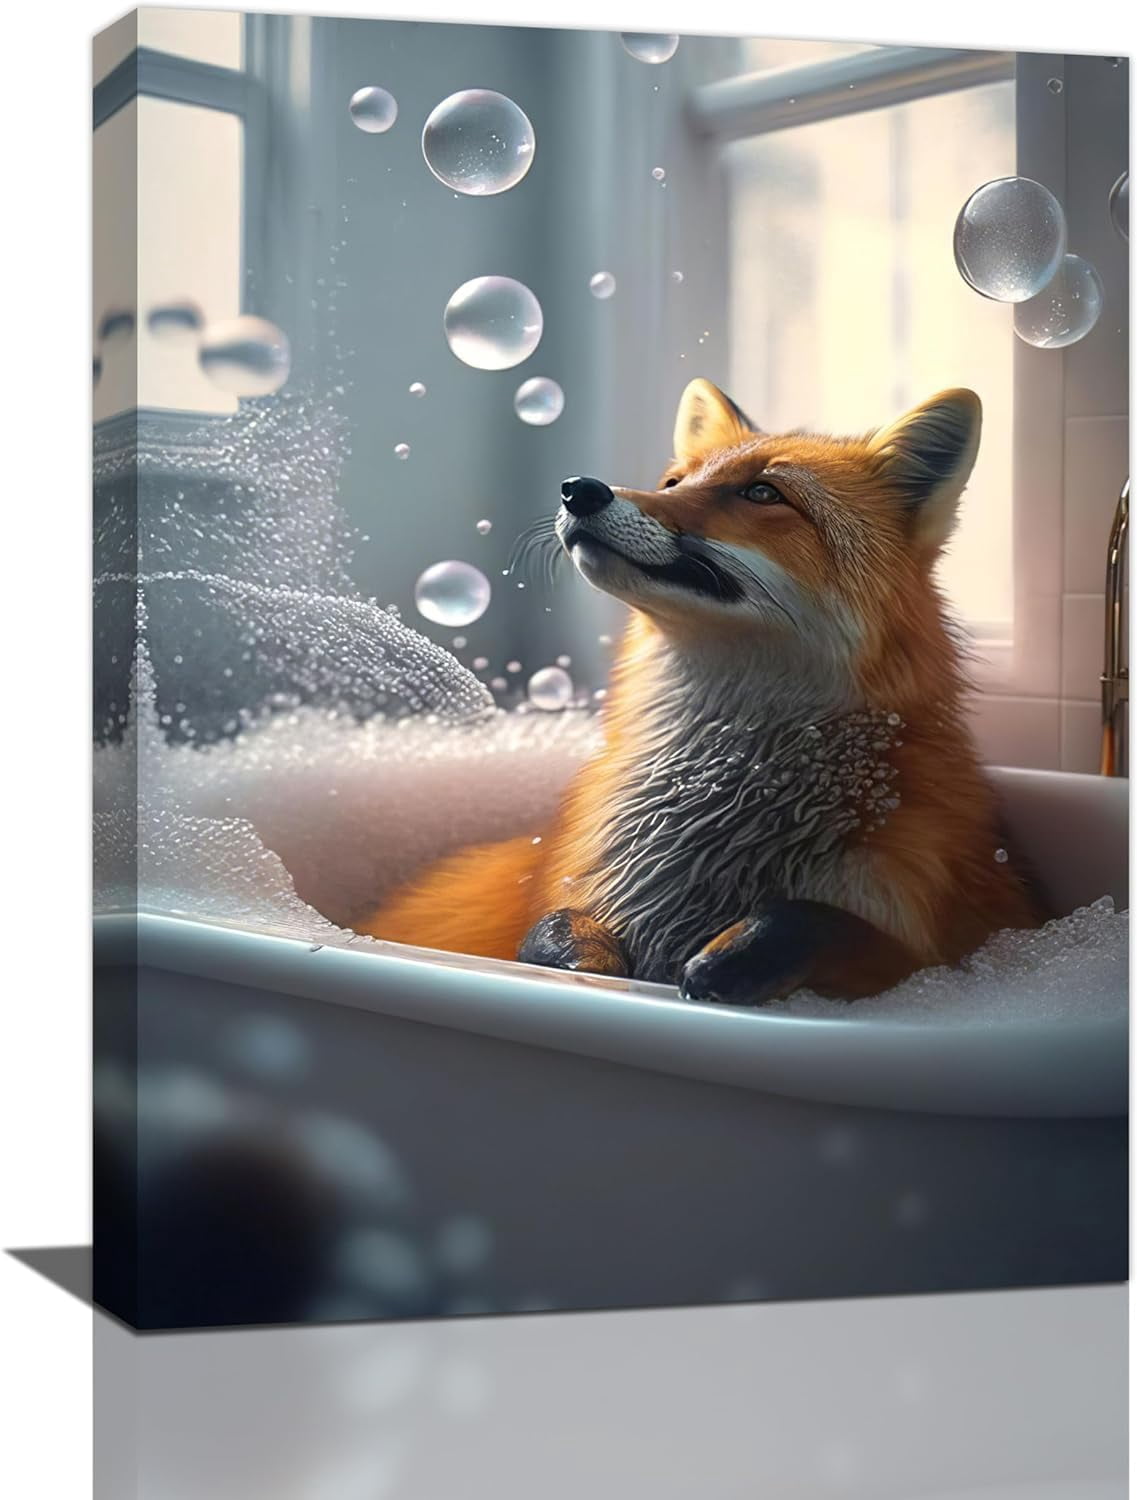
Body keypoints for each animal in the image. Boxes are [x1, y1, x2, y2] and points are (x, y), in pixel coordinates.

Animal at [357, 379, 1040, 1005]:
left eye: (763, 492)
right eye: (671, 483)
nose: (578, 489)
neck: (716, 821)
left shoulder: (930, 944)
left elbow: (826, 923)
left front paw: (742, 952)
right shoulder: (582, 886)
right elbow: (555, 924)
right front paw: (578, 960)